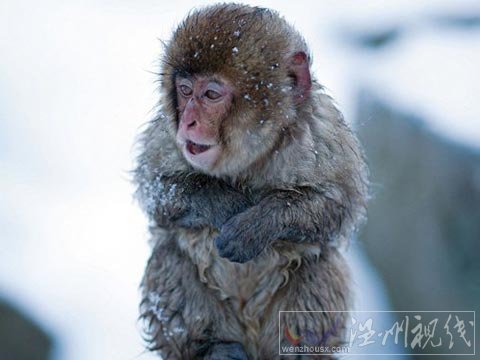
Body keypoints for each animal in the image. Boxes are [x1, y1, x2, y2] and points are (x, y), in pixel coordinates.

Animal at [134, 3, 368, 360]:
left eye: (211, 94)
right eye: (185, 91)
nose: (188, 121)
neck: (249, 158)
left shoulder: (322, 131)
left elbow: (339, 202)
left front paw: (257, 225)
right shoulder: (166, 134)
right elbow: (154, 184)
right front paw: (224, 203)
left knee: (320, 263)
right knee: (171, 252)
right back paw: (211, 348)